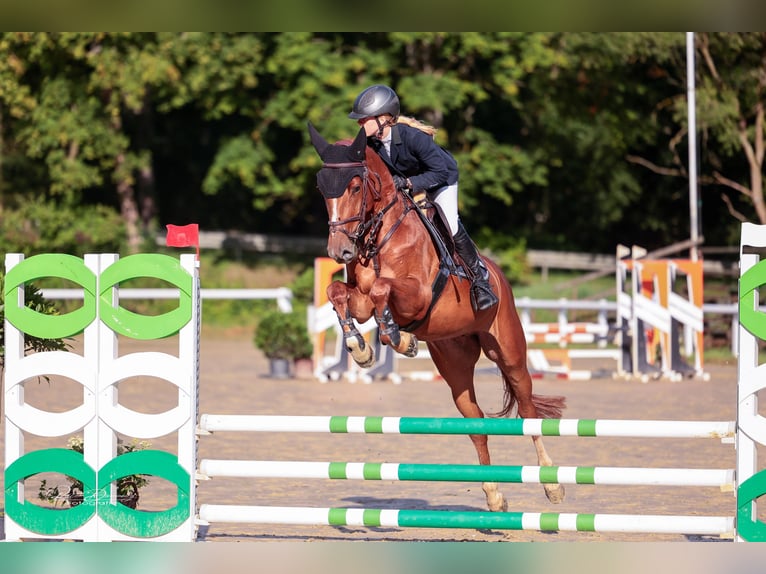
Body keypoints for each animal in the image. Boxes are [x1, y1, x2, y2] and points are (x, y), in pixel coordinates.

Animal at [308, 122, 568, 512]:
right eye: (323, 189)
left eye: (354, 186)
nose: (339, 251)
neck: (380, 235)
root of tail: (499, 276)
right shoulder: (360, 301)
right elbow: (337, 292)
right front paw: (361, 348)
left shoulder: (416, 296)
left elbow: (383, 290)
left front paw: (399, 338)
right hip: (454, 362)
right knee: (476, 423)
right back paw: (494, 495)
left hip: (509, 352)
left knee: (527, 412)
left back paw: (552, 485)